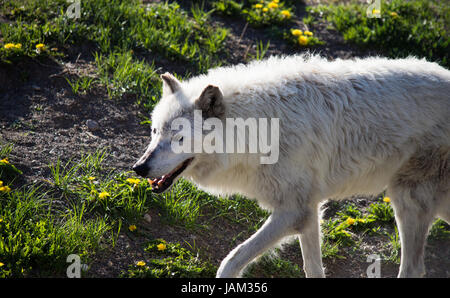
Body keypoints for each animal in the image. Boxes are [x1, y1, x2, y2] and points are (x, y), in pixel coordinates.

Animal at [132, 54, 448, 278]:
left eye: (180, 138)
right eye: (155, 132)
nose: (139, 168)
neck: (259, 129)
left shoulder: (294, 211)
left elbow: (230, 262)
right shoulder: (309, 212)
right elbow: (313, 269)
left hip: (408, 201)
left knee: (413, 269)